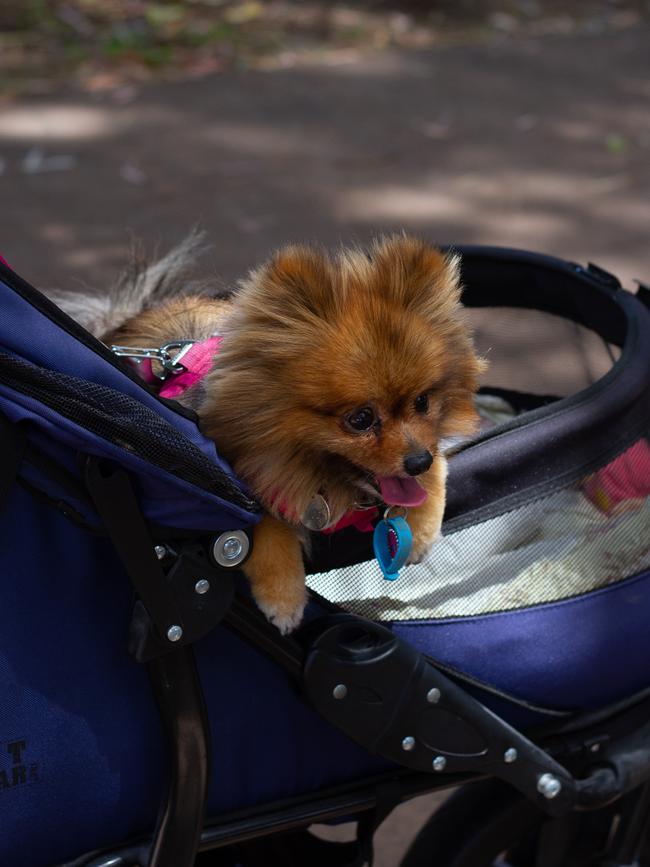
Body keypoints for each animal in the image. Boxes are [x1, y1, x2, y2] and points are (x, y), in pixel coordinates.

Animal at [54, 234, 480, 636]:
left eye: (423, 402)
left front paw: (421, 530)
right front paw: (284, 599)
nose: (416, 461)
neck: (319, 475)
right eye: (360, 419)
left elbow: (437, 468)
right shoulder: (237, 479)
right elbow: (267, 526)